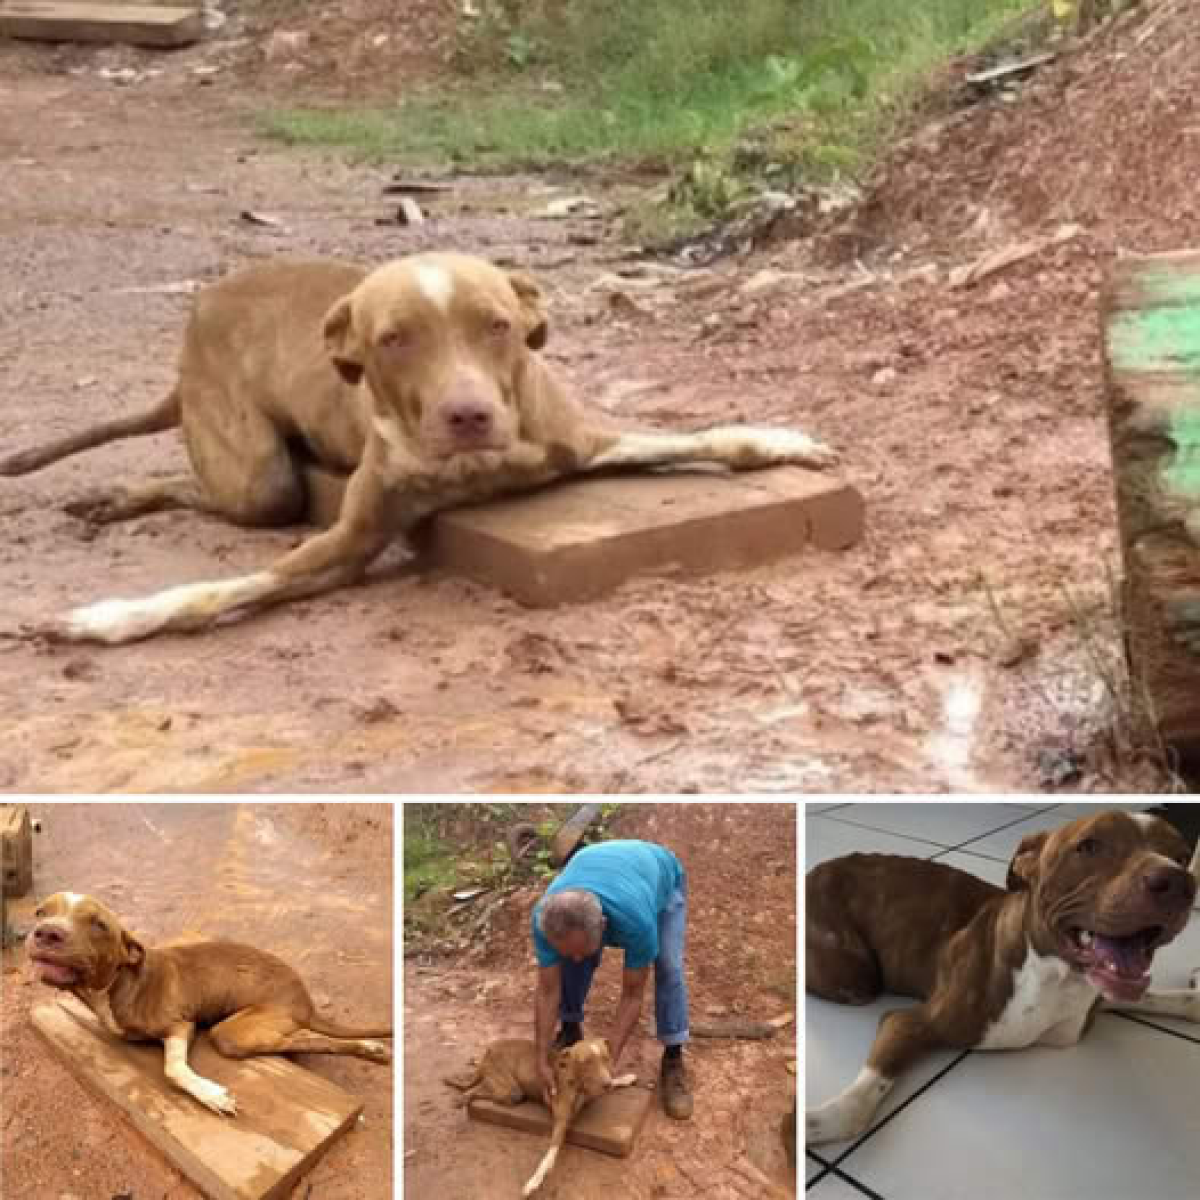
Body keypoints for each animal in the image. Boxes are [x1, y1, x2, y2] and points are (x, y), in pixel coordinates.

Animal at [2, 252, 844, 648]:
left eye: (497, 325)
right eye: (394, 340)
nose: (468, 414)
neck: (475, 466)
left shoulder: (582, 442)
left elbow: (714, 437)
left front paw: (783, 439)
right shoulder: (348, 541)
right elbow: (210, 592)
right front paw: (108, 620)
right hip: (258, 476)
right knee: (212, 485)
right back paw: (118, 498)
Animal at [24, 892, 388, 1113]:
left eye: (99, 924)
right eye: (40, 912)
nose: (46, 932)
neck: (115, 984)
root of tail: (305, 999)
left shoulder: (181, 1025)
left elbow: (173, 1069)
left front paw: (212, 1095)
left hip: (232, 1034)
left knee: (306, 1038)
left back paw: (369, 1048)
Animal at [446, 1036, 638, 1195]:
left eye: (606, 1058)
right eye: (586, 1062)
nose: (606, 1084)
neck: (576, 1082)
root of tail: (489, 1051)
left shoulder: (593, 1092)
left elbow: (614, 1082)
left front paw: (627, 1078)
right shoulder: (561, 1121)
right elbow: (549, 1155)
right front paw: (534, 1182)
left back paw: (472, 1067)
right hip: (512, 1092)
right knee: (478, 1088)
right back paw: (464, 1096)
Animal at [806, 806, 1200, 1142]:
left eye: (1182, 856)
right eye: (1090, 845)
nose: (1179, 880)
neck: (1056, 978)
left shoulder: (1101, 996)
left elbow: (1165, 998)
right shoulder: (909, 1022)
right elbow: (856, 1105)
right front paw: (814, 1122)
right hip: (855, 978)